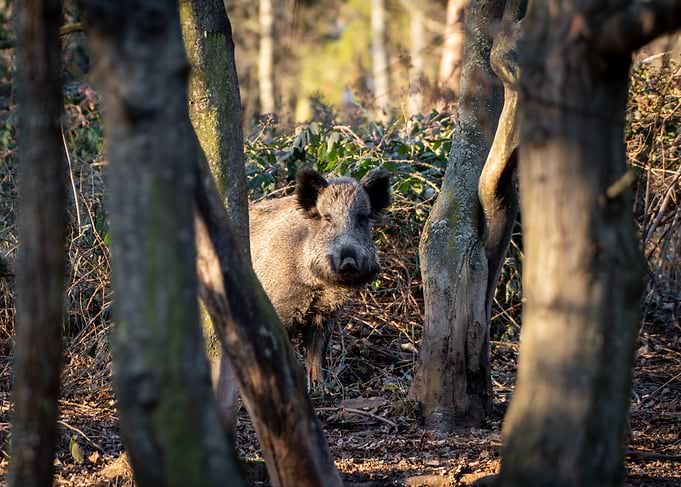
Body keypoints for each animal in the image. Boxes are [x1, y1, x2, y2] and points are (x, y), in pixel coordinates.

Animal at [249, 166, 391, 388]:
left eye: (362, 219)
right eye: (327, 218)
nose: (348, 261)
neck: (318, 286)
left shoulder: (325, 315)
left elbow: (316, 355)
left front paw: (320, 388)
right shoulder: (282, 311)